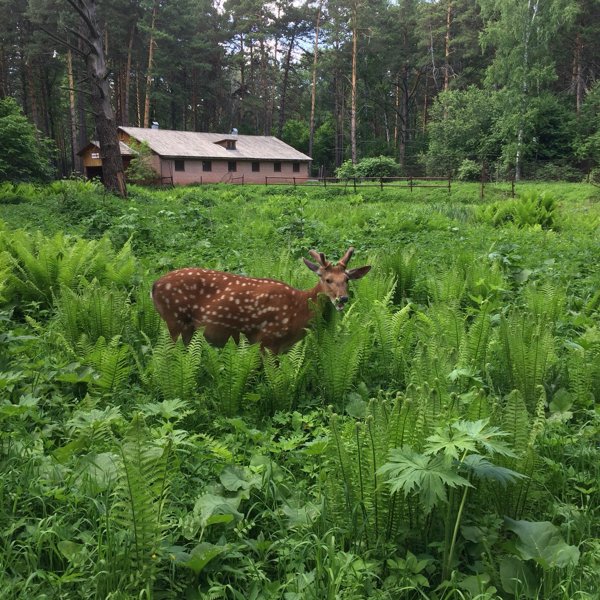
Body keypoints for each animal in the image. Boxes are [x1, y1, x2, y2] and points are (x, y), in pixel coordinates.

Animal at [152, 247, 370, 352]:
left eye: (347, 279)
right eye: (327, 279)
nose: (343, 299)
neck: (298, 309)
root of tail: (153, 286)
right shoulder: (268, 339)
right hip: (174, 319)